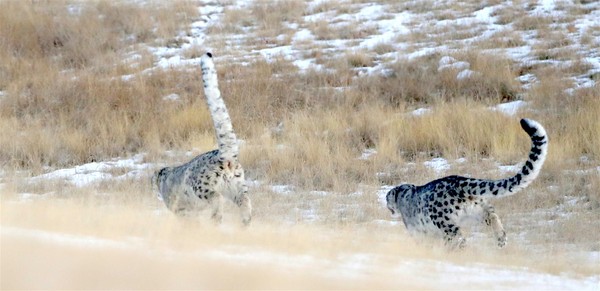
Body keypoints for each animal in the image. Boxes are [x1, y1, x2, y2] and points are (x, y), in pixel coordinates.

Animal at [154, 52, 252, 226]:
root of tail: (226, 159)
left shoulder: (180, 209)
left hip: (202, 187)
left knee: (217, 198)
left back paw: (216, 219)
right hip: (237, 186)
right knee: (245, 199)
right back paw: (245, 222)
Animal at [384, 118, 548, 249]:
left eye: (387, 199)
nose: (388, 208)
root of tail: (462, 182)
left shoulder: (417, 231)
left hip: (443, 220)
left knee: (459, 236)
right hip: (478, 209)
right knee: (492, 216)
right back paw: (501, 239)